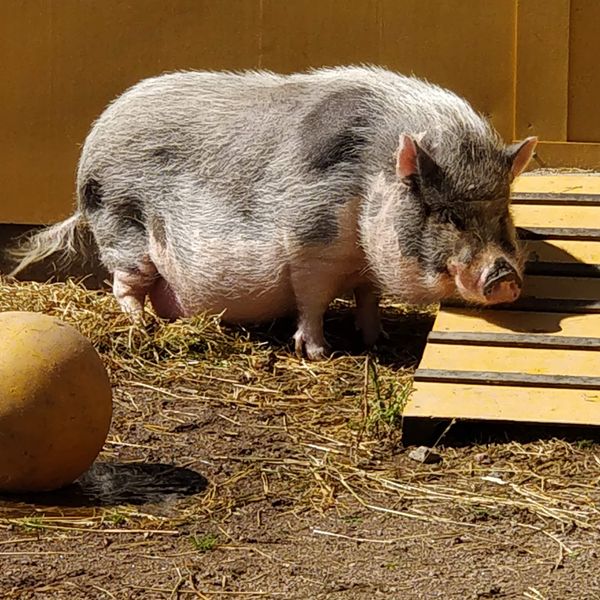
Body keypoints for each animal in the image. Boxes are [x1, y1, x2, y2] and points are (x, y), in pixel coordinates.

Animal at [8, 66, 536, 358]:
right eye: (447, 216)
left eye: (504, 216)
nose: (504, 276)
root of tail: (95, 137)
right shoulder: (309, 242)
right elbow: (312, 300)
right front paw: (319, 354)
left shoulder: (363, 265)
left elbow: (368, 298)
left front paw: (377, 339)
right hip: (122, 227)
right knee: (123, 284)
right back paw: (143, 326)